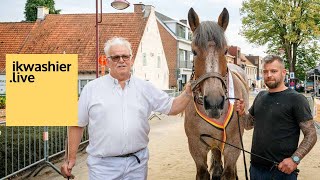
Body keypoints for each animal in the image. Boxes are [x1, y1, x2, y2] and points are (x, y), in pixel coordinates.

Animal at [185, 7, 250, 180]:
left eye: (225, 50)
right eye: (193, 51)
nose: (214, 103)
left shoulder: (233, 146)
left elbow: (229, 172)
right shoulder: (196, 147)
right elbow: (203, 171)